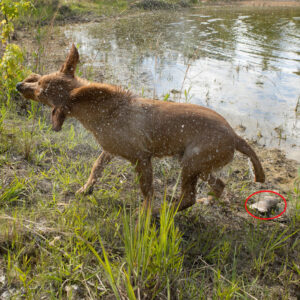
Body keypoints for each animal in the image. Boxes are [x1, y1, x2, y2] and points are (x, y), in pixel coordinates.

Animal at [16, 44, 264, 213]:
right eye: (39, 82)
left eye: (40, 91)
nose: (19, 85)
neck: (102, 110)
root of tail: (235, 136)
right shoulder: (109, 150)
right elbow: (96, 168)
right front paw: (86, 189)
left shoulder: (142, 159)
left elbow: (147, 191)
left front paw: (144, 214)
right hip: (198, 166)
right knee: (218, 185)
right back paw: (207, 200)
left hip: (191, 163)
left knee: (189, 197)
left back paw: (165, 212)